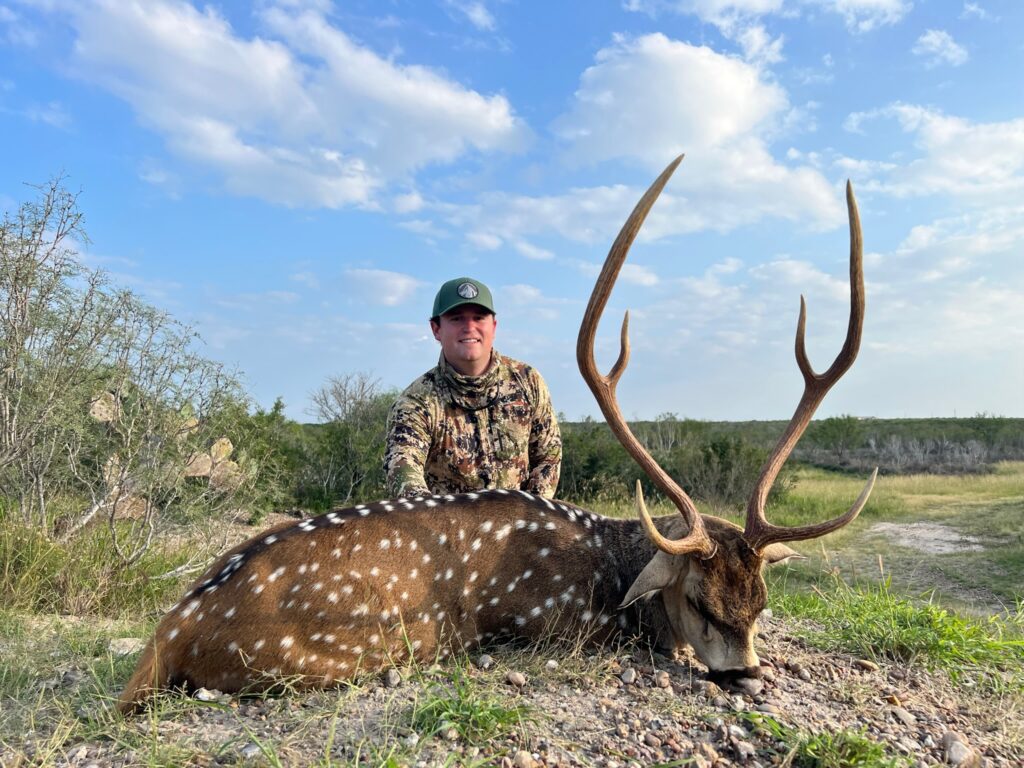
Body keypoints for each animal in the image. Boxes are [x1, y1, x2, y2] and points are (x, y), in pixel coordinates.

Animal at [118, 155, 875, 714]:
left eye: (761, 604)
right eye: (698, 600)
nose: (747, 676)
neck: (611, 573)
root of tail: (169, 632)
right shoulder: (549, 619)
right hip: (331, 652)